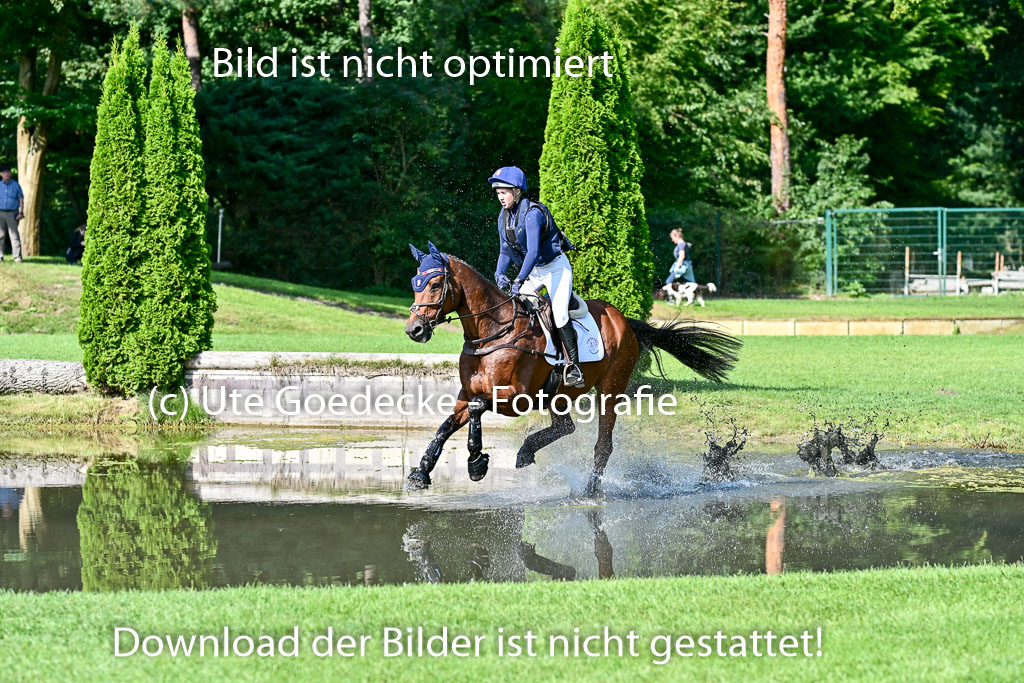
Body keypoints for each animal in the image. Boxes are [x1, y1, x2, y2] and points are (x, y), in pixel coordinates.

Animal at [404, 241, 740, 495]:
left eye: (435, 284)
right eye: (414, 284)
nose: (414, 330)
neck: (494, 330)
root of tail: (624, 320)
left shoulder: (514, 398)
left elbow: (476, 409)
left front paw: (476, 463)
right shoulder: (467, 393)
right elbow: (446, 426)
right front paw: (422, 472)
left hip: (611, 389)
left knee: (602, 445)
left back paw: (590, 490)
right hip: (559, 394)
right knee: (565, 427)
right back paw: (527, 451)